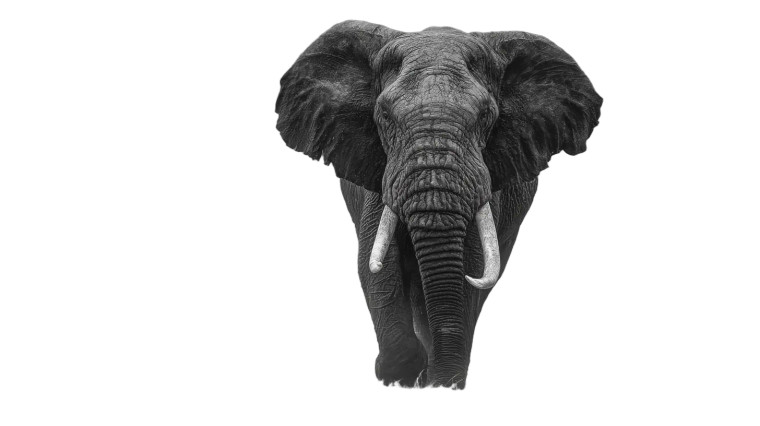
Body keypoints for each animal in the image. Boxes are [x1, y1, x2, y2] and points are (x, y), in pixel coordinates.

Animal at [274, 20, 602, 389]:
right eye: (383, 115)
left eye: (487, 116)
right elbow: (376, 263)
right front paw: (400, 372)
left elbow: (470, 266)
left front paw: (437, 379)